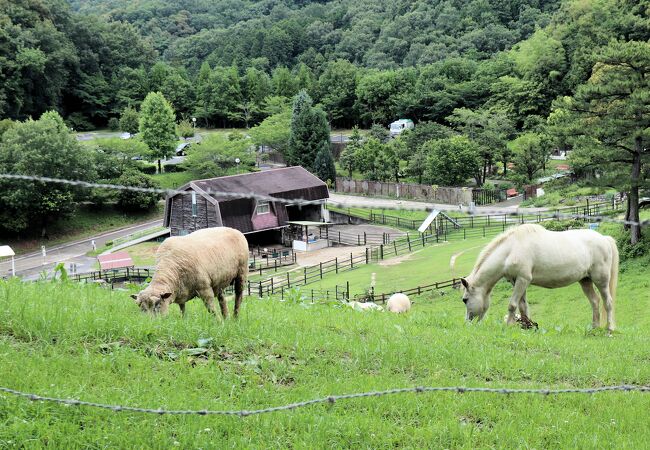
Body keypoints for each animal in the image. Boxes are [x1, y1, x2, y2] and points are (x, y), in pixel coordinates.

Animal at [458, 224, 616, 330]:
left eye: (465, 300)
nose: (467, 323)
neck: (511, 249)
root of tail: (604, 239)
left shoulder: (523, 279)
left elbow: (512, 305)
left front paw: (509, 325)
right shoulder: (517, 281)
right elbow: (522, 306)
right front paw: (526, 326)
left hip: (601, 280)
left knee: (608, 302)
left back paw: (609, 329)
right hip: (585, 281)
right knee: (595, 301)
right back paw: (594, 327)